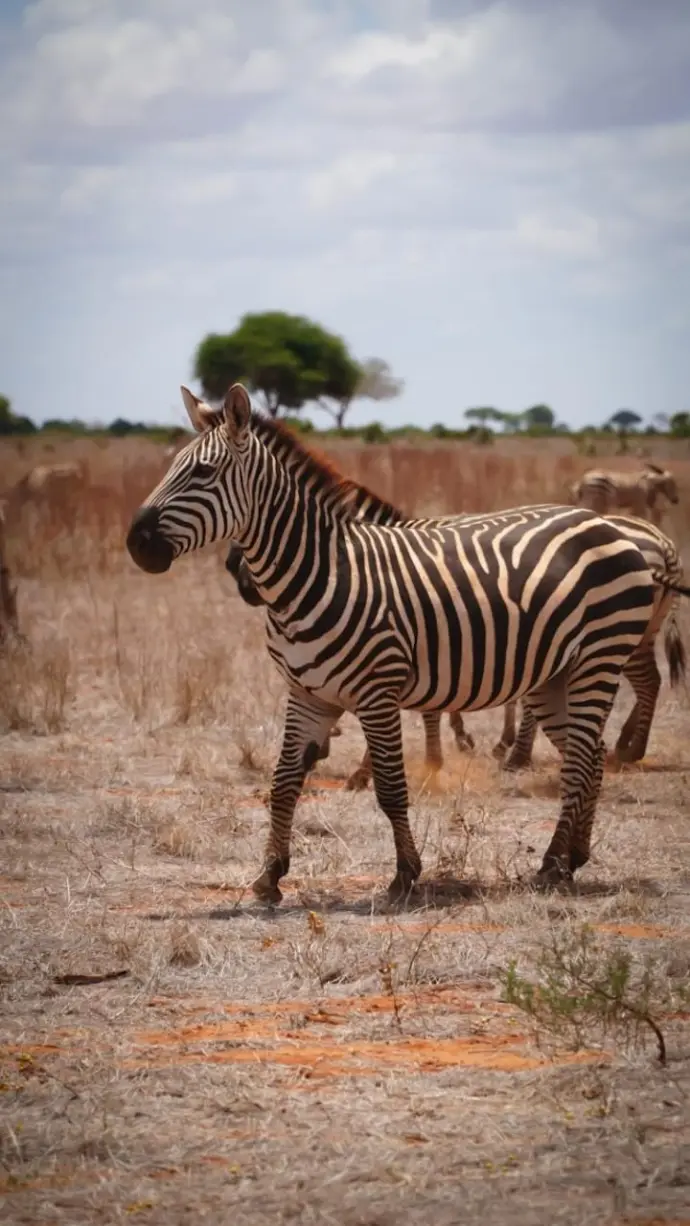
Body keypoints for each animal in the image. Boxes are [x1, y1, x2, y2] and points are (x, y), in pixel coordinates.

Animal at [126, 383, 685, 903]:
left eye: (203, 473)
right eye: (170, 468)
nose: (136, 543)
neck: (323, 571)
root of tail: (613, 525)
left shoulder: (379, 689)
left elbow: (392, 788)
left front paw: (404, 875)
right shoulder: (308, 693)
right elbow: (283, 783)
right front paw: (269, 876)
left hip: (599, 656)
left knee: (585, 755)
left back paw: (554, 861)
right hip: (555, 674)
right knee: (587, 757)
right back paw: (571, 857)